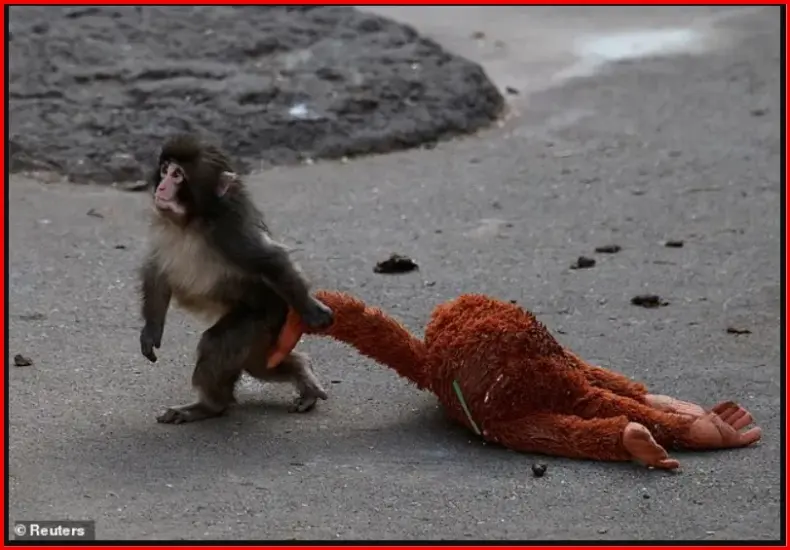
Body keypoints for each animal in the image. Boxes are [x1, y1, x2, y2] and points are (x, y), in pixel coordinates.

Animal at [139, 133, 333, 424]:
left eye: (177, 175)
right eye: (164, 170)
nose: (161, 188)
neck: (192, 221)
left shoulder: (230, 233)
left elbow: (272, 260)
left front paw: (312, 310)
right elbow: (157, 271)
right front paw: (151, 330)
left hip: (262, 317)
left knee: (218, 344)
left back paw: (210, 406)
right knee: (261, 365)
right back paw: (302, 371)